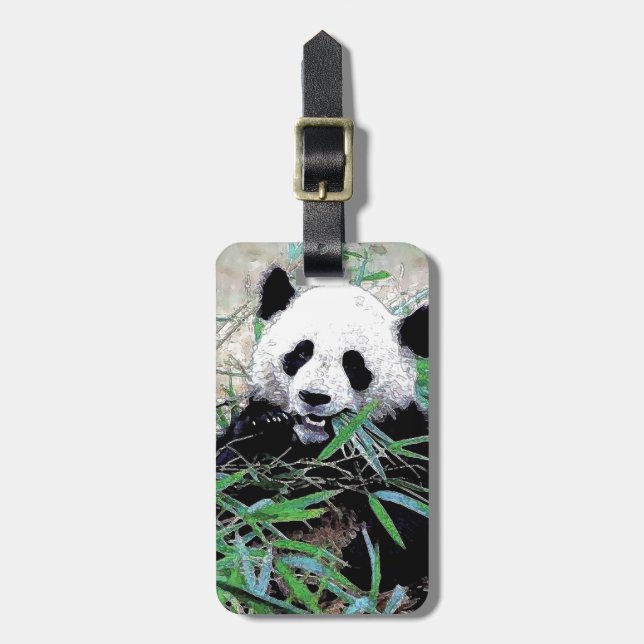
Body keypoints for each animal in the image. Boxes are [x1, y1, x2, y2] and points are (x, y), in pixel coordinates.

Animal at [218, 266, 429, 593]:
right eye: (302, 352)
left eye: (353, 364)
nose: (314, 397)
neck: (320, 447)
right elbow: (230, 499)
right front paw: (265, 424)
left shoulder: (399, 440)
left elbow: (410, 507)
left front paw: (361, 560)